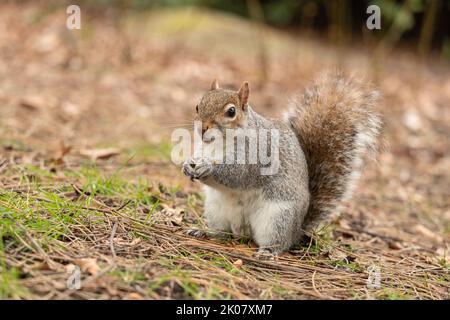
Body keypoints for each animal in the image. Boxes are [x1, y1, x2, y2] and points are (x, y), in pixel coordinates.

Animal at [181, 73, 382, 258]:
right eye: (198, 106)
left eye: (231, 112)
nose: (202, 128)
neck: (219, 143)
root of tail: (297, 229)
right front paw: (187, 165)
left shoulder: (258, 155)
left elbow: (239, 174)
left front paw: (209, 167)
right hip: (215, 209)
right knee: (223, 232)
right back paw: (205, 231)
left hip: (278, 218)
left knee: (280, 242)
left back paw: (268, 251)